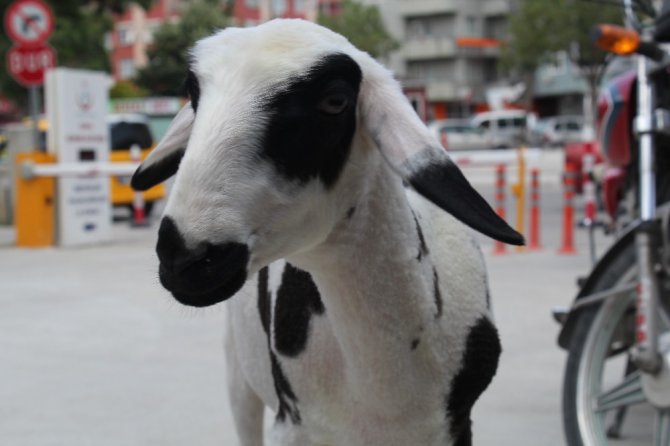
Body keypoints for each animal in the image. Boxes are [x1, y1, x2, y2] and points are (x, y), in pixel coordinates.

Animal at [131, 18, 524, 446]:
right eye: (194, 93)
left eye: (335, 101)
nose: (184, 257)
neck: (383, 393)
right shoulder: (293, 424)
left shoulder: (455, 425)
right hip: (238, 372)